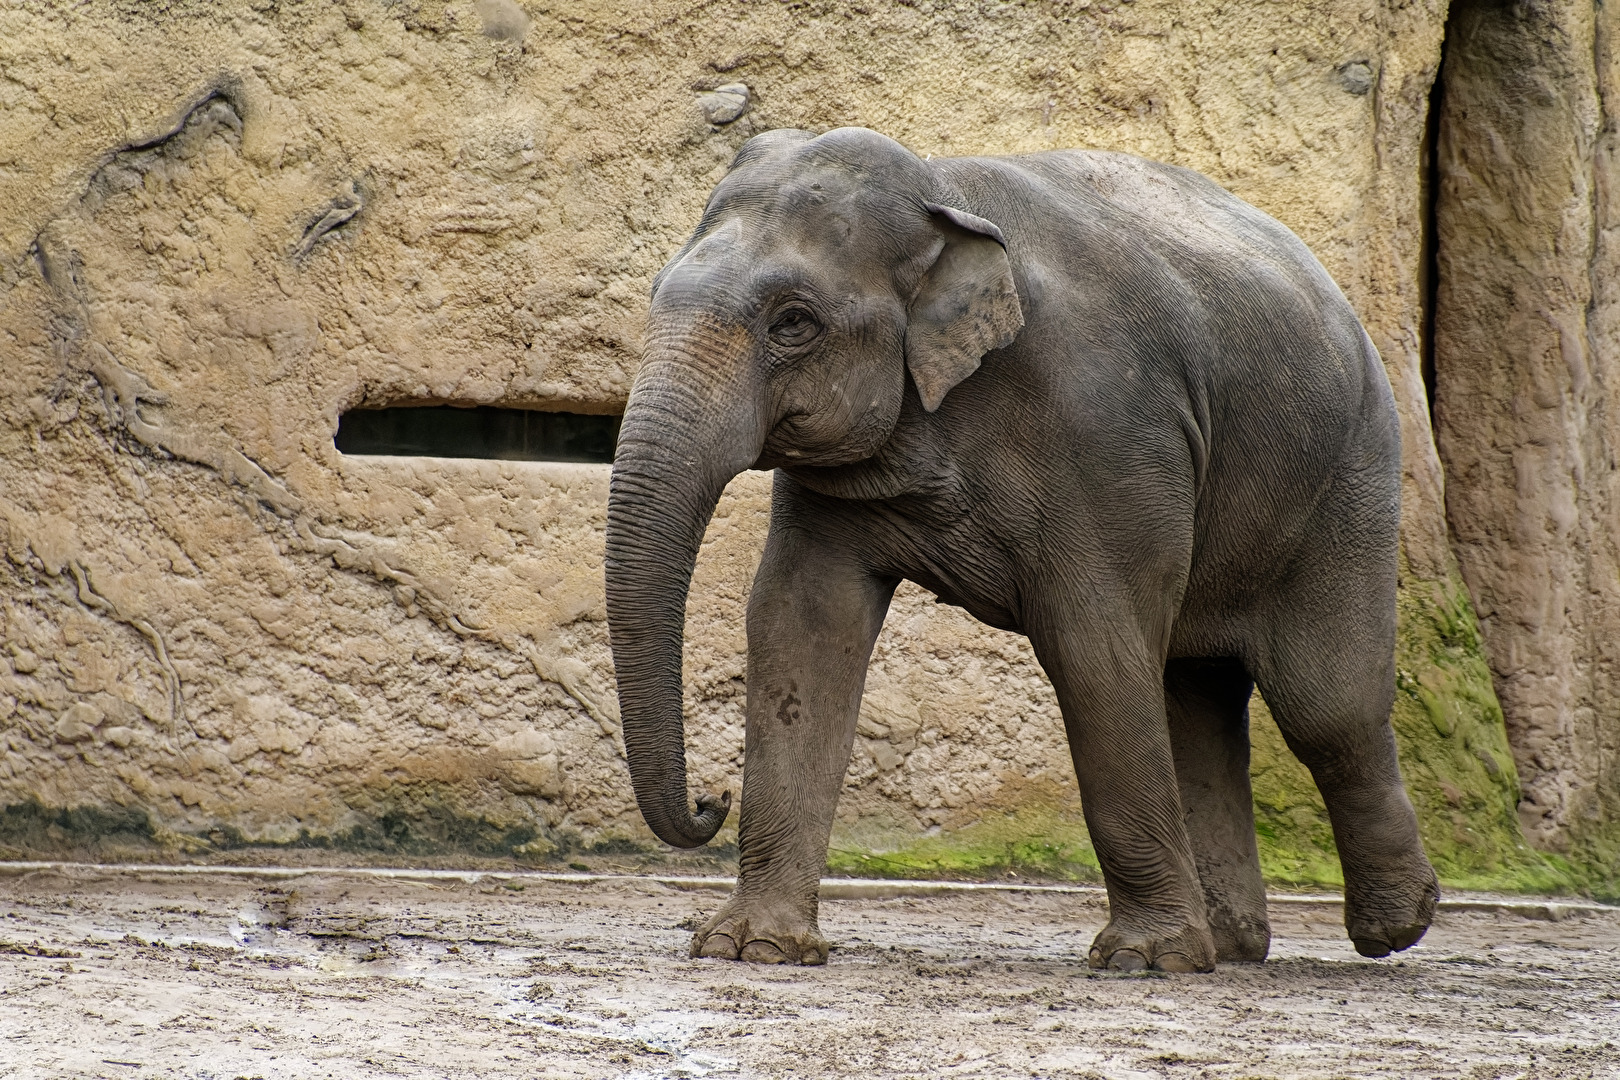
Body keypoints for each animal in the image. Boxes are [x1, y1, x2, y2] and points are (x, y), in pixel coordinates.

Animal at [604, 126, 1439, 973]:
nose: (711, 798)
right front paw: (752, 946)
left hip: (1350, 480)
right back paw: (1233, 945)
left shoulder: (1107, 433)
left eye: (794, 322)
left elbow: (1093, 646)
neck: (941, 194)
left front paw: (1144, 959)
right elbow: (798, 627)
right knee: (1196, 702)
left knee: (1325, 708)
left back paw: (1390, 930)